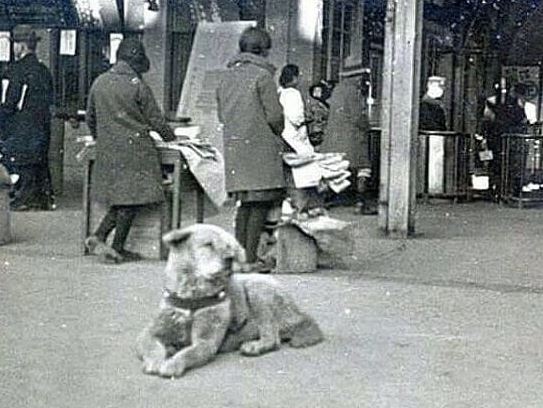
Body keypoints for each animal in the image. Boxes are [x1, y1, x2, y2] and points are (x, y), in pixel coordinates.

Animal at [136, 223, 324, 376]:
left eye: (228, 247)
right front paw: (156, 359)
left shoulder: (206, 343)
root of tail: (298, 312)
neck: (192, 297)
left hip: (258, 290)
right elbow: (152, 347)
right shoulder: (149, 333)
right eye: (208, 244)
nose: (229, 259)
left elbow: (187, 353)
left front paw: (173, 364)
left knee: (273, 337)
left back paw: (255, 346)